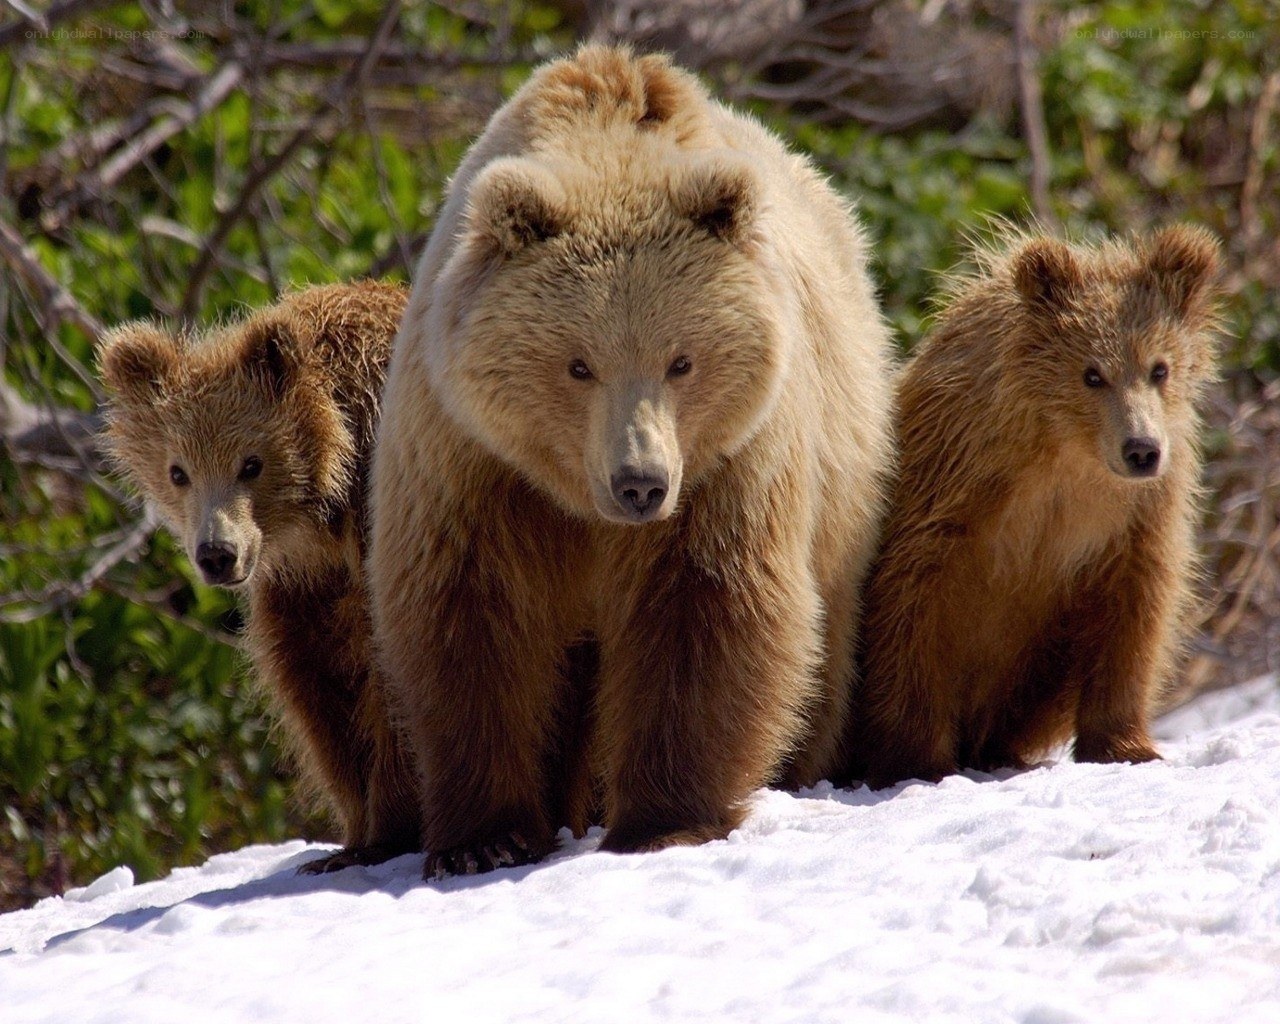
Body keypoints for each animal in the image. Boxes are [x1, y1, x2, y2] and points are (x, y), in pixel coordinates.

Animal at [97, 281, 421, 872]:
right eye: (178, 471)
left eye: (251, 463)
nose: (217, 554)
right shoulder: (303, 588)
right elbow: (316, 686)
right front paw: (351, 836)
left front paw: (388, 832)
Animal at [369, 44, 895, 878]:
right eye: (578, 364)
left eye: (681, 360)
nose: (640, 483)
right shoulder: (472, 460)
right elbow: (471, 616)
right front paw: (483, 839)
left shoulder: (727, 463)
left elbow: (704, 607)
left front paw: (663, 819)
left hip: (842, 477)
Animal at [846, 226, 1222, 789]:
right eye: (1092, 374)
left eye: (1160, 368)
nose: (1140, 449)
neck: (1065, 455)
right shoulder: (953, 489)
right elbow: (912, 608)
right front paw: (916, 760)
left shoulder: (1135, 518)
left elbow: (1134, 613)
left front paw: (1126, 746)